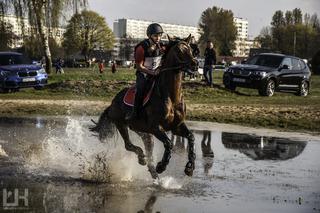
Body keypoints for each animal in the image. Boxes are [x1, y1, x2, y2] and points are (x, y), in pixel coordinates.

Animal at [90, 35, 199, 178]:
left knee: (147, 153)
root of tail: (113, 102)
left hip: (143, 132)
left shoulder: (176, 126)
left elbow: (191, 137)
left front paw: (189, 167)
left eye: (191, 50)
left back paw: (153, 173)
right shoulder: (156, 127)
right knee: (128, 145)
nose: (195, 64)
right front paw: (162, 166)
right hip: (121, 124)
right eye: (179, 51)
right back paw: (143, 159)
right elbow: (169, 143)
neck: (171, 97)